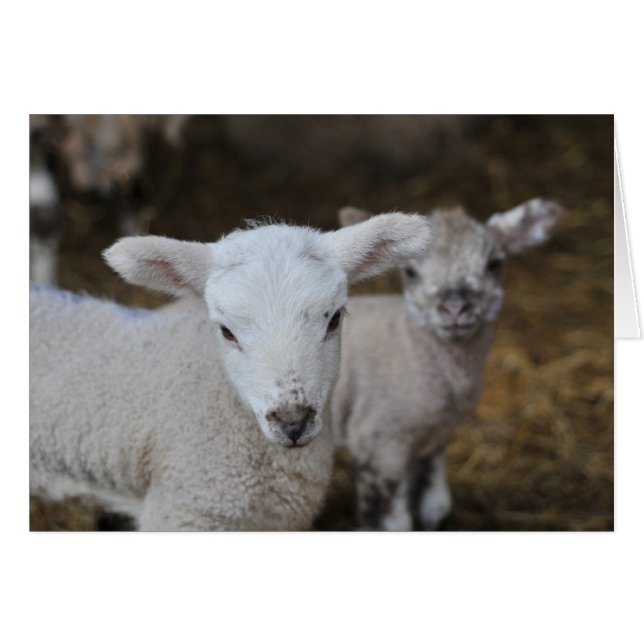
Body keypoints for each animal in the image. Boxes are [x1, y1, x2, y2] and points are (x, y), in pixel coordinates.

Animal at [332, 199, 565, 530]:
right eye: (410, 272)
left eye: (494, 264)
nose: (455, 308)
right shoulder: (379, 441)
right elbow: (393, 523)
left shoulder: (432, 439)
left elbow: (434, 507)